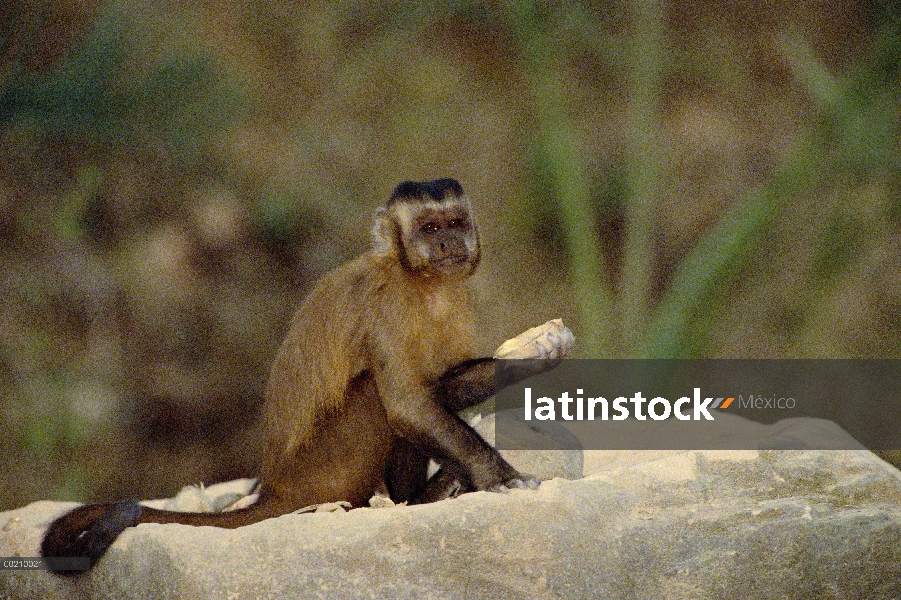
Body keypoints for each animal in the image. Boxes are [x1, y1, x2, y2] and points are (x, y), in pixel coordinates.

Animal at [44, 177, 564, 572]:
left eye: (456, 223)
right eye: (430, 227)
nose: (449, 242)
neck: (422, 283)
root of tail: (276, 488)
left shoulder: (456, 298)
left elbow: (439, 389)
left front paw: (536, 354)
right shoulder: (387, 302)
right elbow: (406, 404)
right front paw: (497, 477)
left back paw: (424, 495)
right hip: (326, 471)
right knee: (376, 394)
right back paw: (417, 499)